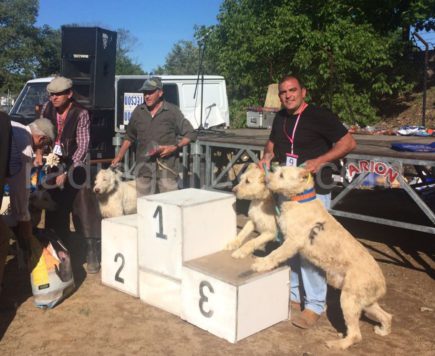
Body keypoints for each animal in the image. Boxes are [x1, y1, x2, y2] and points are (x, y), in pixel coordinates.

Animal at [252, 167, 392, 350]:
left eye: (281, 175)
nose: (265, 178)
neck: (299, 199)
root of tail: (382, 284)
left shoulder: (292, 242)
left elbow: (275, 254)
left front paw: (261, 264)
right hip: (366, 303)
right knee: (387, 315)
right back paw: (383, 330)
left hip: (349, 299)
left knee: (356, 334)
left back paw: (338, 343)